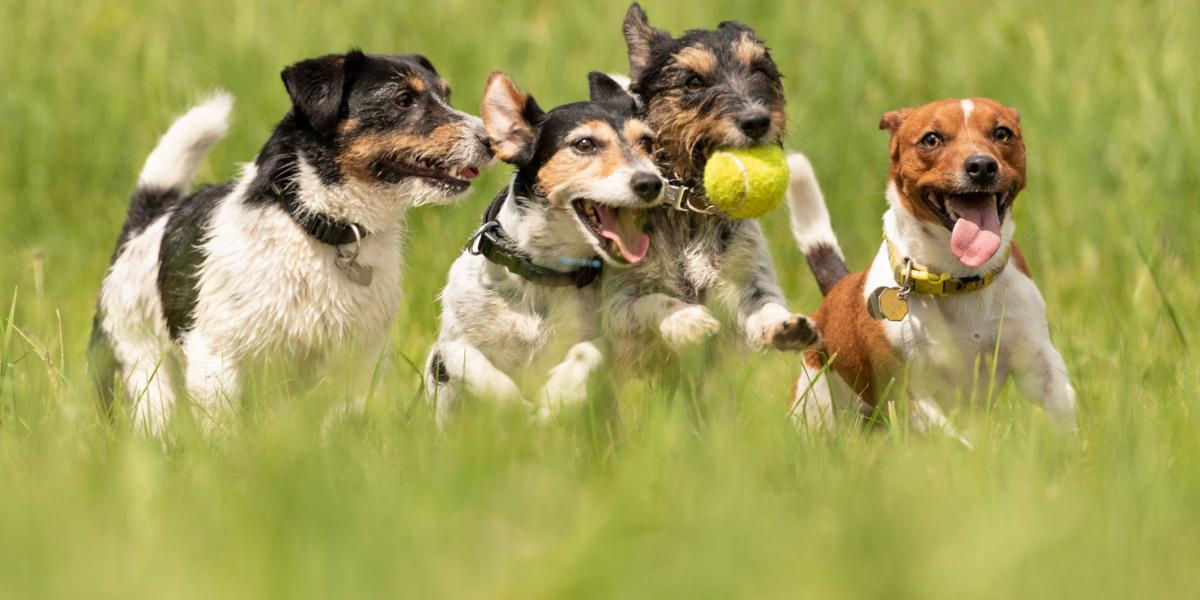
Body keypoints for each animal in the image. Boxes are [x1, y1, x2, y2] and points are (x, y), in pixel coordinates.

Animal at [87, 51, 492, 434]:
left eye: (446, 95)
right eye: (403, 99)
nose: (489, 140)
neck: (318, 227)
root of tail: (142, 227)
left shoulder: (357, 362)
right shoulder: (217, 358)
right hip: (144, 374)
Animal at [424, 72, 667, 424]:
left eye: (647, 143)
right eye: (584, 144)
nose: (651, 183)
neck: (542, 271)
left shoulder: (607, 336)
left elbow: (589, 351)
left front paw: (557, 395)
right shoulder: (449, 347)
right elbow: (473, 363)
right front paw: (514, 407)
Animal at [787, 97, 1080, 436]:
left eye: (1002, 133)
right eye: (931, 139)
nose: (982, 166)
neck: (960, 278)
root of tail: (836, 289)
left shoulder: (1035, 359)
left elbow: (1061, 400)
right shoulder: (908, 395)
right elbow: (951, 439)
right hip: (816, 405)